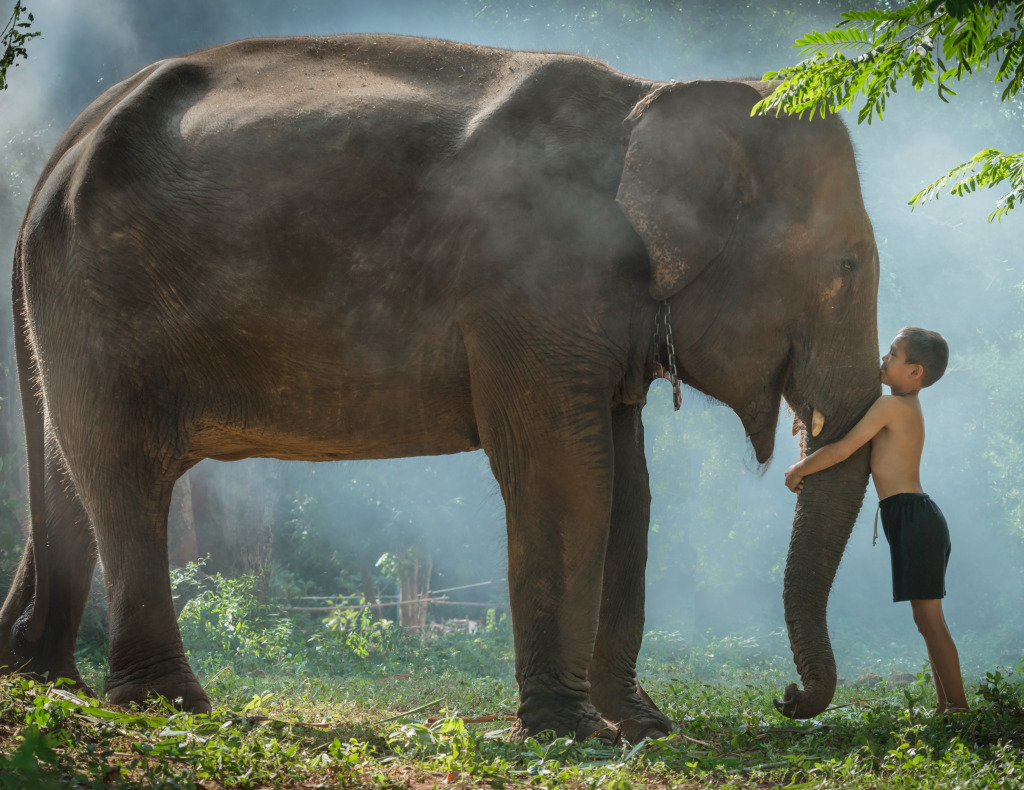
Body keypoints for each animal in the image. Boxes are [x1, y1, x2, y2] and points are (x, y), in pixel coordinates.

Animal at [0, 35, 880, 741]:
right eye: (846, 269)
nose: (787, 699)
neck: (651, 95)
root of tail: (62, 150)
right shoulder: (531, 281)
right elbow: (567, 474)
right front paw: (575, 733)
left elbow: (628, 487)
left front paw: (645, 727)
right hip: (103, 301)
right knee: (124, 471)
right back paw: (167, 704)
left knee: (70, 473)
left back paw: (41, 675)